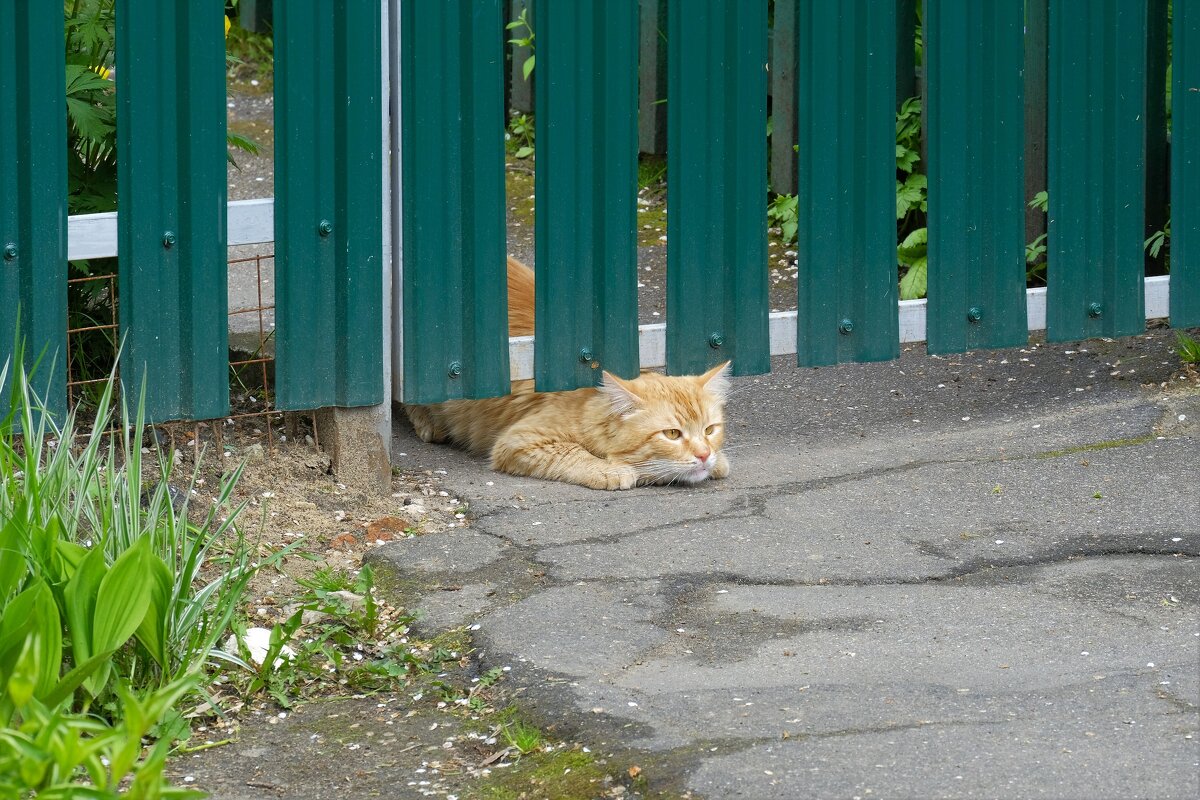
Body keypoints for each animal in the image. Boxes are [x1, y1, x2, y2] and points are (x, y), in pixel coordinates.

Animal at [400, 260, 729, 491]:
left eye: (710, 430)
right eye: (672, 434)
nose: (703, 455)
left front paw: (717, 460)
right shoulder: (521, 440)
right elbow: (575, 453)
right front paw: (610, 469)